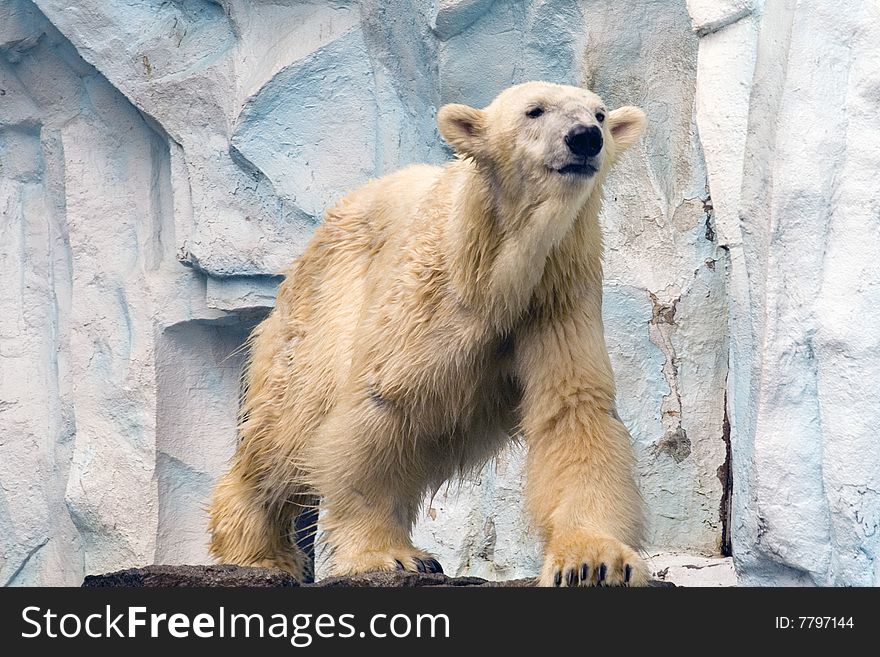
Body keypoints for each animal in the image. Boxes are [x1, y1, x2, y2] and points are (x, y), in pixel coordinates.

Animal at [206, 79, 648, 588]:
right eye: (535, 111)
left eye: (599, 114)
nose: (584, 138)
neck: (491, 269)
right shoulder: (426, 299)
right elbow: (382, 406)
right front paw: (391, 555)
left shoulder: (555, 297)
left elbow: (574, 413)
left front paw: (593, 560)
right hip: (322, 307)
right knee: (288, 425)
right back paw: (256, 552)